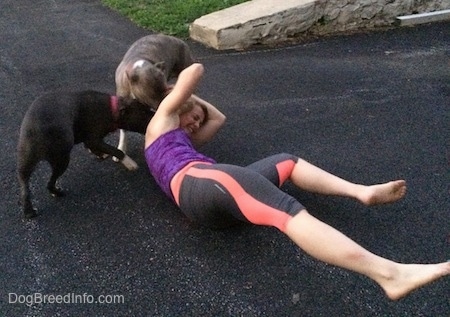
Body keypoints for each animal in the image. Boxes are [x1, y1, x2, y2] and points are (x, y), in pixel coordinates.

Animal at [16, 89, 154, 217]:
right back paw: (56, 193)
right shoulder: (93, 140)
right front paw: (129, 163)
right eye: (144, 112)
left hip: (26, 160)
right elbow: (116, 150)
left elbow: (96, 149)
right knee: (49, 183)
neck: (113, 109)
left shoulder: (91, 142)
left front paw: (101, 154)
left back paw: (29, 211)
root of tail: (36, 130)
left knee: (25, 186)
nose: (154, 114)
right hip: (62, 159)